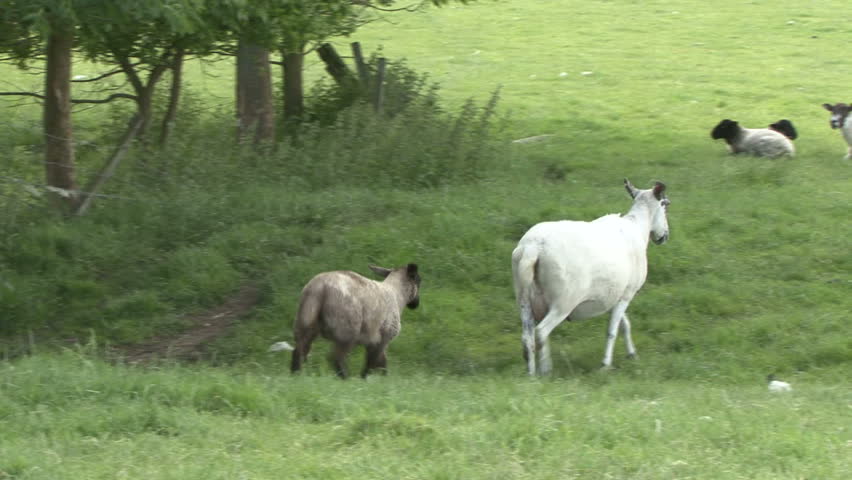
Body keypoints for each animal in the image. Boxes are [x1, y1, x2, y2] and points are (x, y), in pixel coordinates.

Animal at [288, 263, 421, 379]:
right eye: (419, 281)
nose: (416, 304)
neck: (398, 295)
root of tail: (320, 287)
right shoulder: (383, 338)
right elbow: (373, 362)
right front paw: (365, 379)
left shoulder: (373, 341)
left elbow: (381, 363)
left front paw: (383, 379)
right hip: (347, 331)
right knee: (336, 358)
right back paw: (345, 378)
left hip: (305, 321)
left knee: (299, 351)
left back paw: (296, 375)